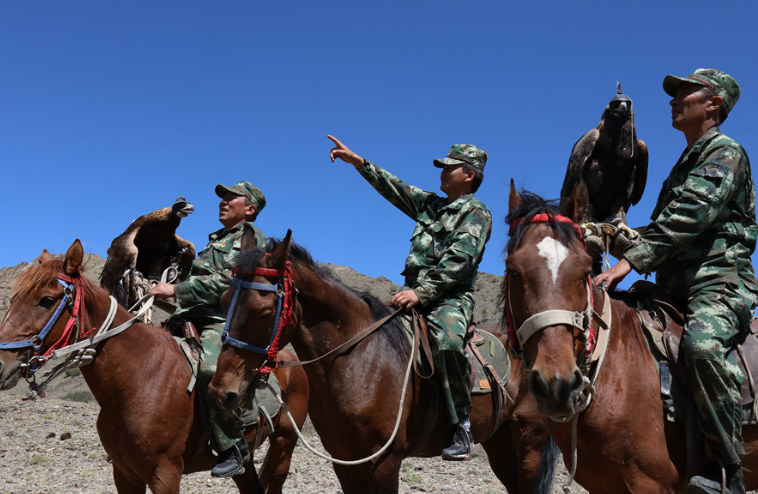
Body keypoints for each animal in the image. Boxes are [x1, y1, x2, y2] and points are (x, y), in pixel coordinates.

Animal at [0, 239, 312, 494]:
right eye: (12, 299)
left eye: (47, 300)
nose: (2, 363)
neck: (138, 380)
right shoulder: (125, 474)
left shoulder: (165, 474)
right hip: (246, 465)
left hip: (284, 445)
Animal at [208, 228, 560, 494]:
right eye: (224, 301)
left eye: (264, 309)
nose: (222, 392)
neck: (359, 363)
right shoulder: (345, 461)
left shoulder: (385, 462)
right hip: (500, 441)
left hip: (529, 442)